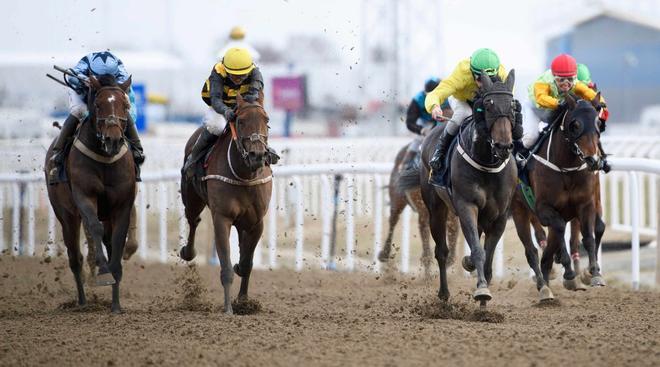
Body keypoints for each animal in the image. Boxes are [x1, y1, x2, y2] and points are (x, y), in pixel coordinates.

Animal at [45, 75, 137, 314]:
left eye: (125, 106)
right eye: (97, 105)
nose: (113, 139)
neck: (105, 158)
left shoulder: (122, 205)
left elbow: (117, 244)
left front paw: (116, 305)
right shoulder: (84, 197)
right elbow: (94, 227)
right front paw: (104, 272)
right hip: (66, 215)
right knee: (74, 258)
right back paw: (83, 302)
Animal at [179, 93, 272, 314]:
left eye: (267, 120)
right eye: (241, 121)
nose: (257, 155)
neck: (244, 176)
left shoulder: (257, 222)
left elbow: (246, 263)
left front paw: (244, 302)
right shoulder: (222, 218)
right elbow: (226, 267)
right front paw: (228, 308)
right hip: (192, 198)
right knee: (193, 220)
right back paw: (188, 252)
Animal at [378, 144, 462, 276]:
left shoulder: (451, 215)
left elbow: (452, 247)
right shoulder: (425, 213)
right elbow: (427, 251)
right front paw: (428, 276)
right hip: (397, 196)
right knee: (393, 220)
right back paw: (384, 253)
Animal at [410, 70, 520, 306]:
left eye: (513, 106)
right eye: (488, 105)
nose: (503, 146)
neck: (488, 164)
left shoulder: (499, 216)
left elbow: (487, 257)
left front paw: (483, 296)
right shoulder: (466, 206)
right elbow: (478, 251)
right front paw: (482, 290)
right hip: (435, 208)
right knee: (441, 251)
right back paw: (444, 294)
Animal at [512, 92, 604, 302]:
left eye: (598, 123)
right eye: (575, 124)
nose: (593, 160)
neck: (566, 168)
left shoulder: (586, 204)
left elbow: (589, 236)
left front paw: (594, 273)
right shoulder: (543, 209)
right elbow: (559, 231)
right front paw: (566, 273)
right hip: (518, 209)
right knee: (532, 251)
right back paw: (544, 286)